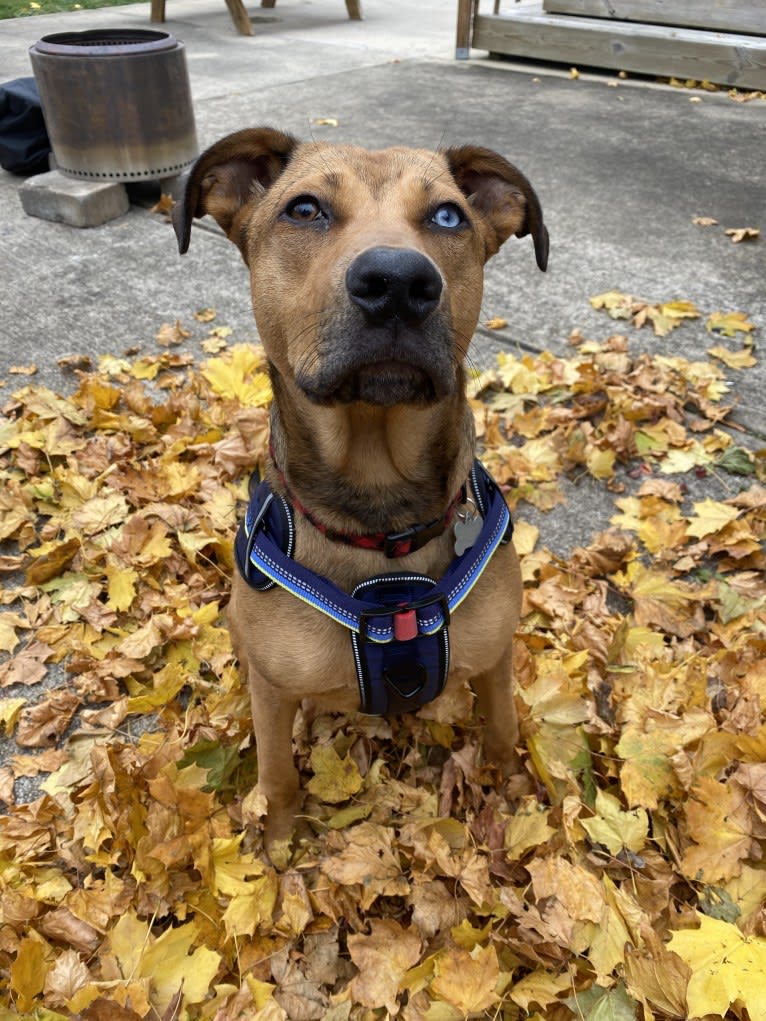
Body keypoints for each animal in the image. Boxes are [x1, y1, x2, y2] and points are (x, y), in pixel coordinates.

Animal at [173, 127, 547, 849]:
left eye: (449, 216)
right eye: (305, 209)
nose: (398, 281)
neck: (381, 523)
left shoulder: (495, 658)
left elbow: (503, 730)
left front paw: (512, 793)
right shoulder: (273, 687)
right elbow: (277, 772)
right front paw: (279, 842)